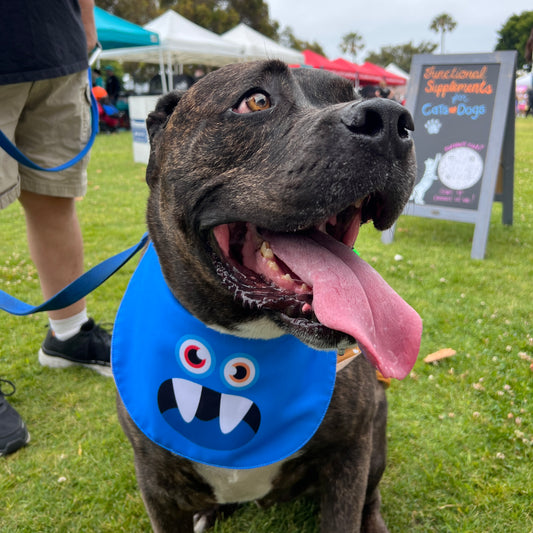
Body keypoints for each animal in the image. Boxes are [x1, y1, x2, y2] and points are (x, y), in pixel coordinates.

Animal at [117, 61, 420, 532]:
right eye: (256, 101)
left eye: (351, 94)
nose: (391, 119)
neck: (245, 340)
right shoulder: (157, 484)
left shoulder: (350, 454)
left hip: (376, 432)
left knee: (372, 497)